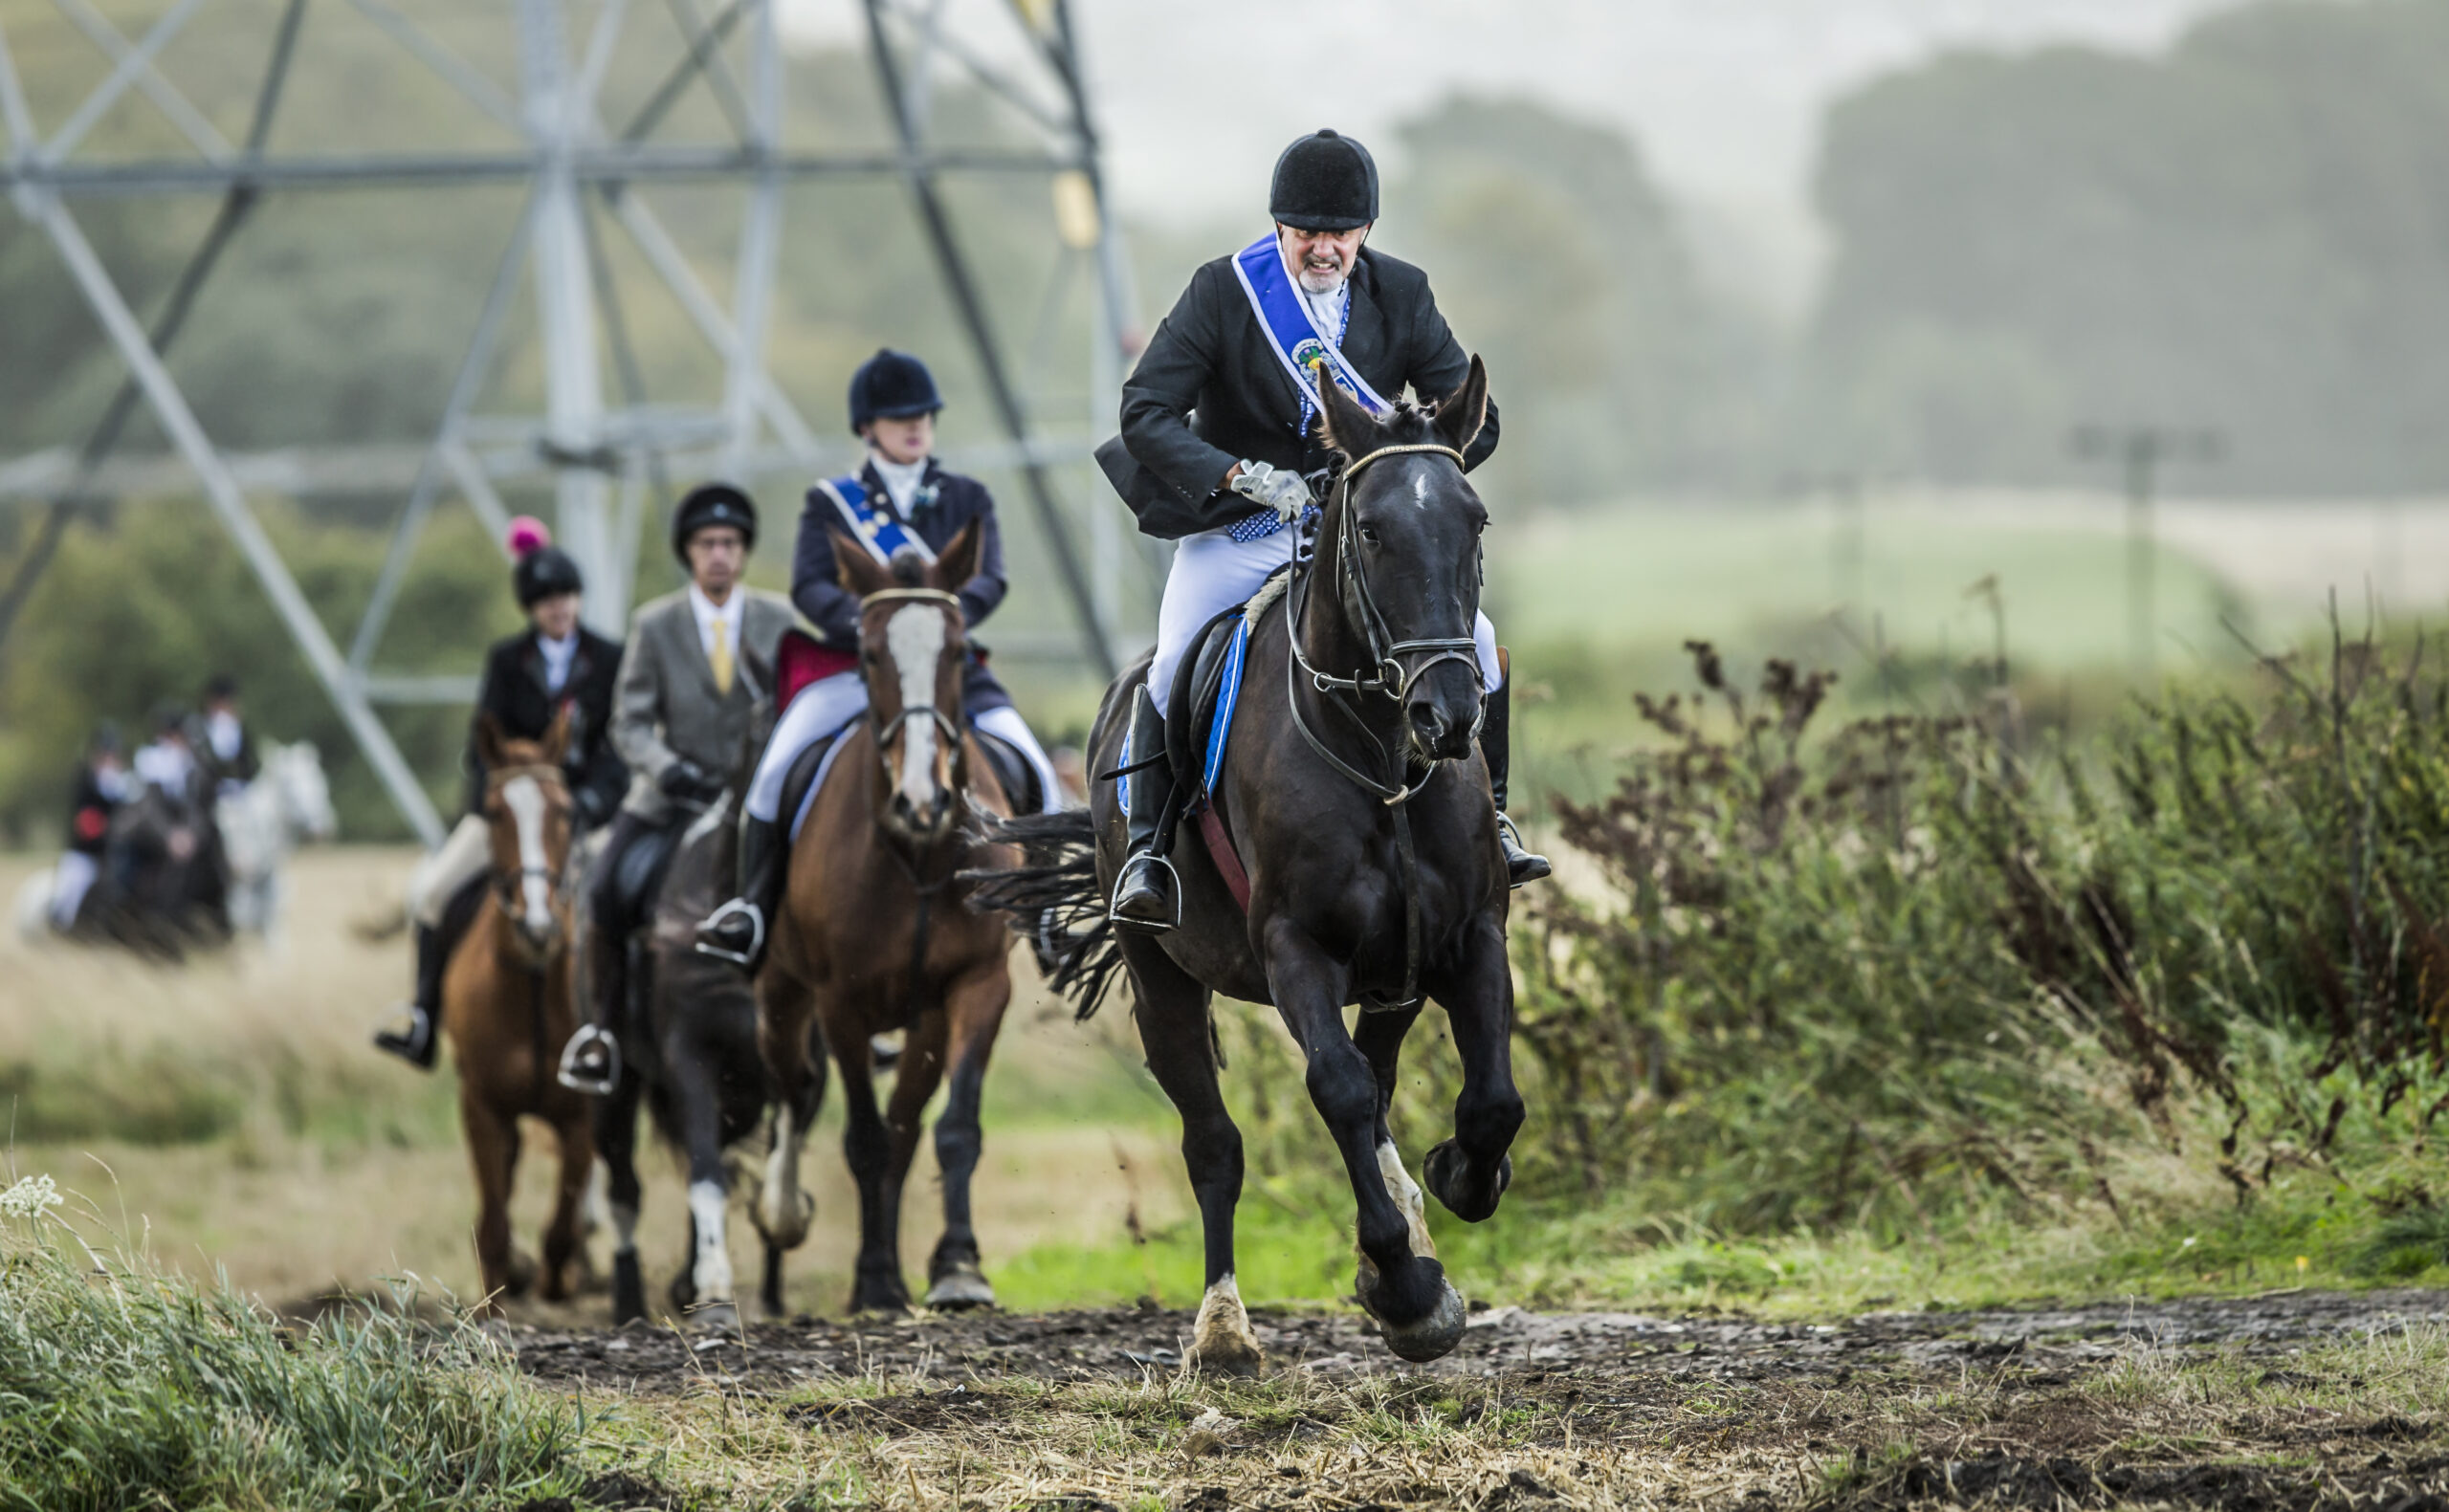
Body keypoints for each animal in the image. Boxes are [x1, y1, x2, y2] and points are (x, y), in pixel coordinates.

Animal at [443, 709, 595, 1311]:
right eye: (493, 812)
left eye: (566, 810)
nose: (538, 928)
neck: (530, 987)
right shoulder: (482, 1107)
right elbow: (495, 1225)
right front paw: (504, 1291)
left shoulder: (581, 1115)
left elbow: (560, 1227)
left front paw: (556, 1279)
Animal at [592, 782, 823, 1321]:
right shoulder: (690, 1060)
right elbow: (705, 1173)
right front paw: (714, 1288)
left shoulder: (803, 1067)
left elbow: (776, 1168)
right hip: (616, 1091)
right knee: (625, 1186)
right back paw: (634, 1300)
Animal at [744, 518, 1013, 1311]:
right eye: (865, 654)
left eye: (956, 647)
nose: (921, 800)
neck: (916, 857)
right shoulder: (841, 1001)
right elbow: (860, 1137)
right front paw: (869, 1279)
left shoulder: (978, 985)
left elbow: (951, 1126)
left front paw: (957, 1267)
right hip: (781, 993)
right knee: (794, 1090)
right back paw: (785, 1212)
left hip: (923, 1021)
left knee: (904, 1128)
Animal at [969, 352, 1508, 1370]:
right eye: (1370, 529)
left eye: (1475, 519)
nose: (1450, 714)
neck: (1381, 753)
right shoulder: (1296, 946)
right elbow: (1334, 1088)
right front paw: (1405, 1285)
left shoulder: (1468, 937)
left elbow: (1489, 1093)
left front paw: (1454, 1183)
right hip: (1163, 982)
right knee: (1216, 1143)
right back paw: (1225, 1327)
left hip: (1395, 977)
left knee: (1381, 1087)